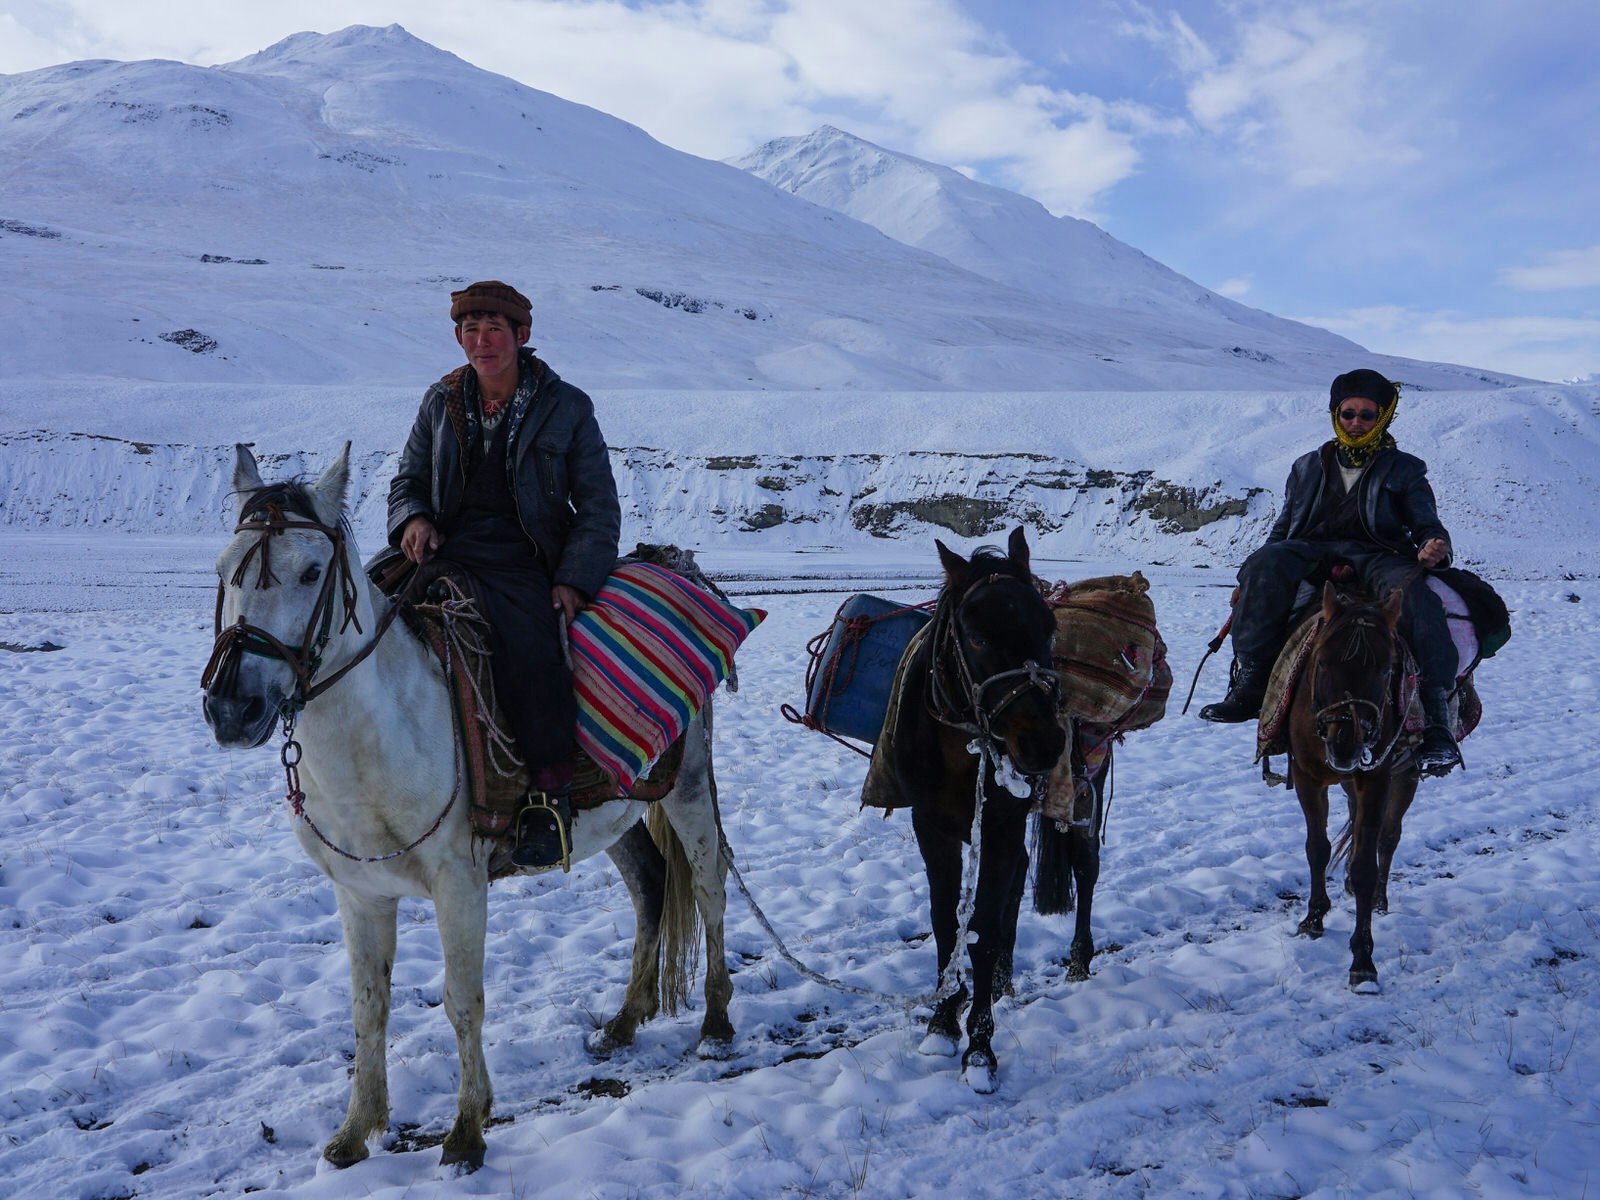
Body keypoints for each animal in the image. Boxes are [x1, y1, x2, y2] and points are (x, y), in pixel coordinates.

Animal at [198, 448, 736, 1171]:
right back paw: (624, 1023)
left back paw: (715, 1024)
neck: (381, 735)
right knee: (651, 885)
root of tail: (680, 565)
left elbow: (461, 1001)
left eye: (311, 571)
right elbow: (368, 1008)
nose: (233, 707)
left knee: (707, 886)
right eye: (223, 569)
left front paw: (467, 1130)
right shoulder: (360, 893)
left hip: (688, 788)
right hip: (613, 810)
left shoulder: (460, 882)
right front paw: (354, 1132)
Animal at [870, 531, 1068, 1094]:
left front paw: (979, 1049)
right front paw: (942, 1020)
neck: (964, 748)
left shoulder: (1001, 826)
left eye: (1048, 627)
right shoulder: (930, 827)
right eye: (976, 637)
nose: (1044, 744)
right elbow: (945, 924)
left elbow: (980, 930)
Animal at [1280, 585, 1420, 998]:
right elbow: (1317, 848)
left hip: (1404, 776)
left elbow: (1365, 866)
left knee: (1387, 838)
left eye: (1387, 668)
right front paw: (1313, 918)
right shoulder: (1307, 777)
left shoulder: (1377, 778)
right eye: (1323, 662)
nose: (1345, 744)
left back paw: (1378, 900)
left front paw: (1362, 961)